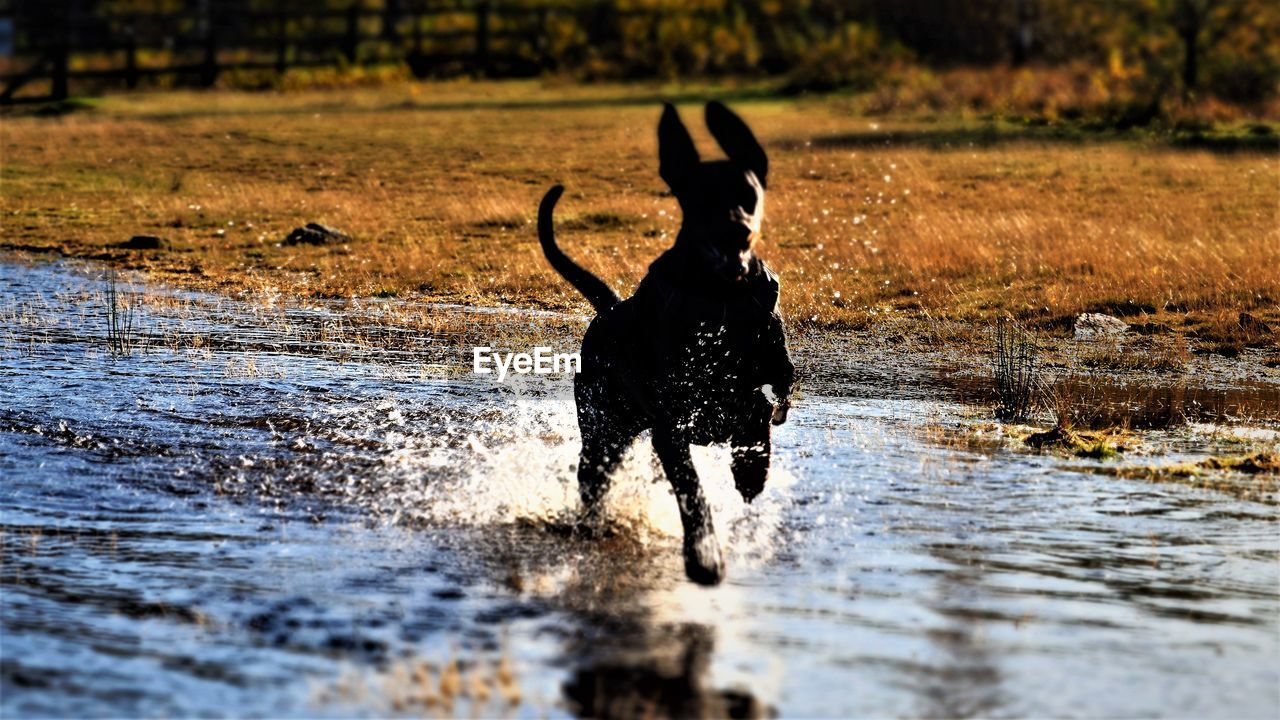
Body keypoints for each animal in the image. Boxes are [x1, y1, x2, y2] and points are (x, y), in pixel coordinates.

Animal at [535, 101, 793, 584]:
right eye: (701, 199)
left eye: (748, 195)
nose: (737, 231)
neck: (718, 301)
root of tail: (610, 309)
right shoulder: (670, 428)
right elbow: (692, 491)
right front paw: (704, 556)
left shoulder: (751, 390)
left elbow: (758, 413)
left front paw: (751, 471)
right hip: (603, 433)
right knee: (594, 480)